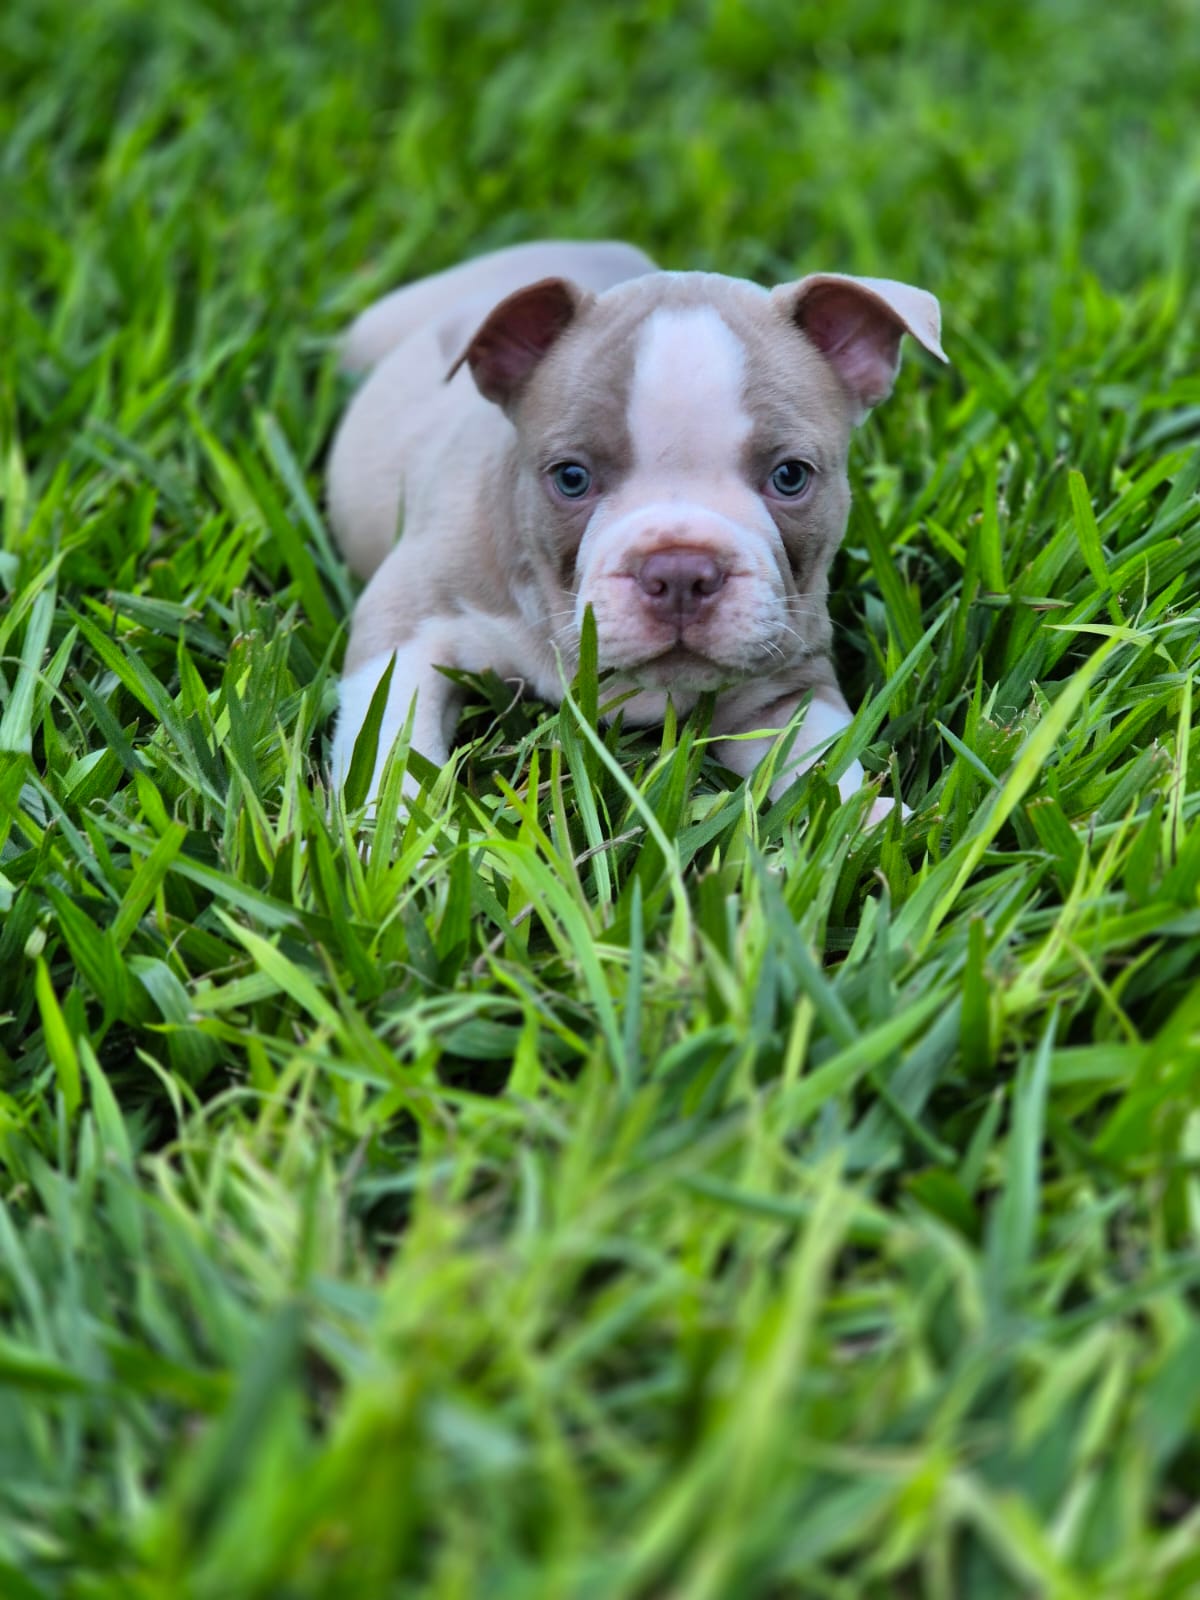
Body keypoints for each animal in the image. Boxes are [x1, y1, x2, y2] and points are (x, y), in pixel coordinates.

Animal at [324, 243, 947, 819]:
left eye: (790, 477)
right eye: (571, 478)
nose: (680, 570)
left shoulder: (786, 685)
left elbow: (821, 761)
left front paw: (871, 818)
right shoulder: (406, 626)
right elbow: (389, 744)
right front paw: (393, 840)